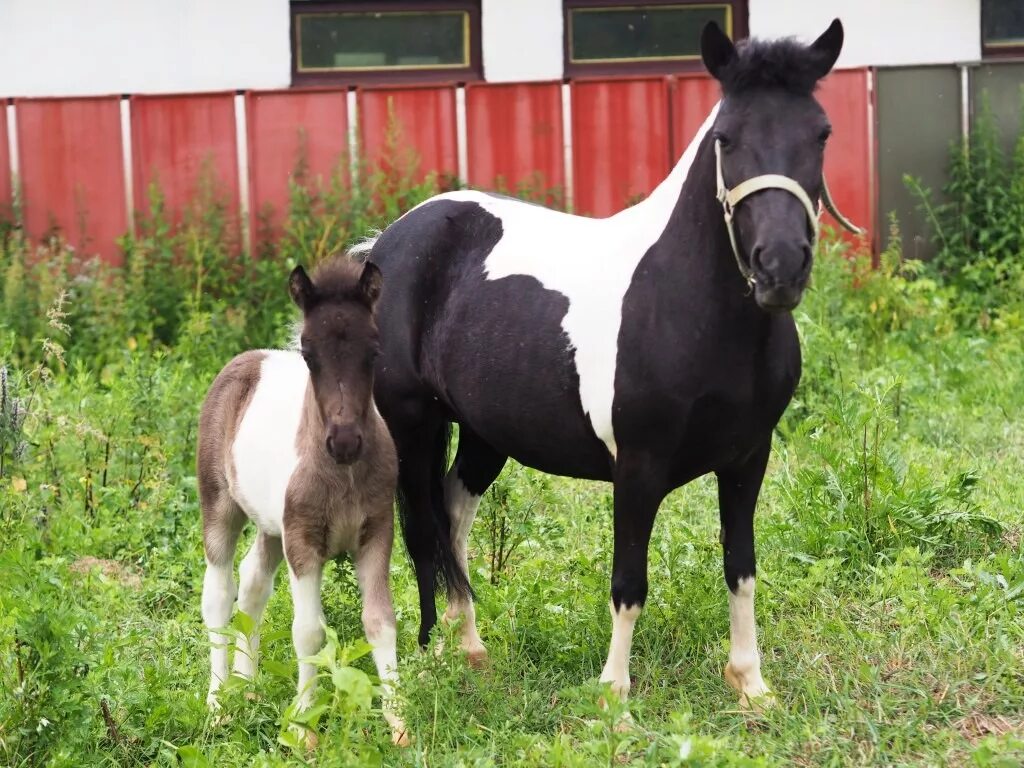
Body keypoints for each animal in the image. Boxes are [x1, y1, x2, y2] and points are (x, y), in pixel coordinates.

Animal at [197, 259, 409, 745]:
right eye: (309, 355)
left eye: (373, 351)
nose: (345, 442)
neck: (344, 474)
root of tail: (247, 357)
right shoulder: (303, 543)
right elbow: (309, 633)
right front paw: (303, 727)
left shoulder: (376, 535)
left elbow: (380, 622)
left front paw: (399, 725)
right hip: (221, 508)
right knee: (218, 595)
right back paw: (217, 704)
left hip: (270, 525)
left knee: (252, 583)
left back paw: (248, 686)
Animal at [362, 19, 856, 708]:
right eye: (726, 137)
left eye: (822, 133)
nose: (779, 267)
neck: (687, 307)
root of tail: (390, 240)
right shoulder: (638, 467)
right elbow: (628, 581)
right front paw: (613, 697)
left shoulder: (747, 458)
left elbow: (741, 566)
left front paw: (751, 684)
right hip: (411, 424)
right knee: (423, 530)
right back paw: (434, 658)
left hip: (487, 433)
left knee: (453, 516)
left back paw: (472, 650)